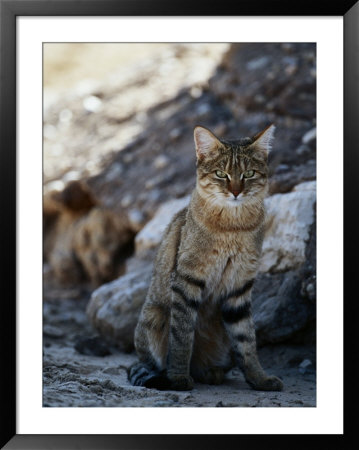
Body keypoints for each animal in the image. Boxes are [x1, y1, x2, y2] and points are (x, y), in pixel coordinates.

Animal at [129, 125, 284, 392]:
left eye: (249, 173)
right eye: (221, 174)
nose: (235, 192)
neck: (233, 227)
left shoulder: (239, 286)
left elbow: (247, 341)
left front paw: (258, 378)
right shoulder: (187, 279)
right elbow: (182, 336)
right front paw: (178, 377)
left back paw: (210, 372)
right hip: (153, 317)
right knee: (148, 363)